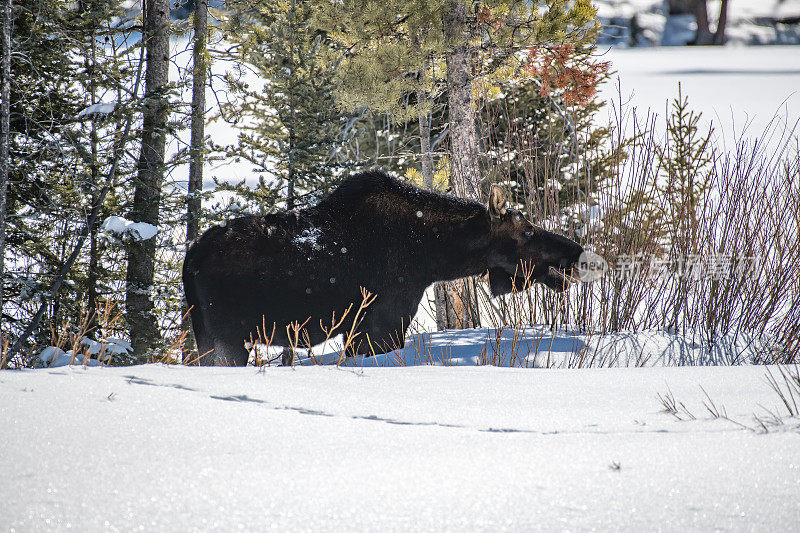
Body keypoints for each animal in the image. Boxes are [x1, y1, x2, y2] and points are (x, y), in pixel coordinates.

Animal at [183, 171, 580, 366]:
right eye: (527, 231)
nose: (576, 251)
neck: (432, 258)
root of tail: (189, 261)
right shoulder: (382, 323)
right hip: (226, 336)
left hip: (202, 335)